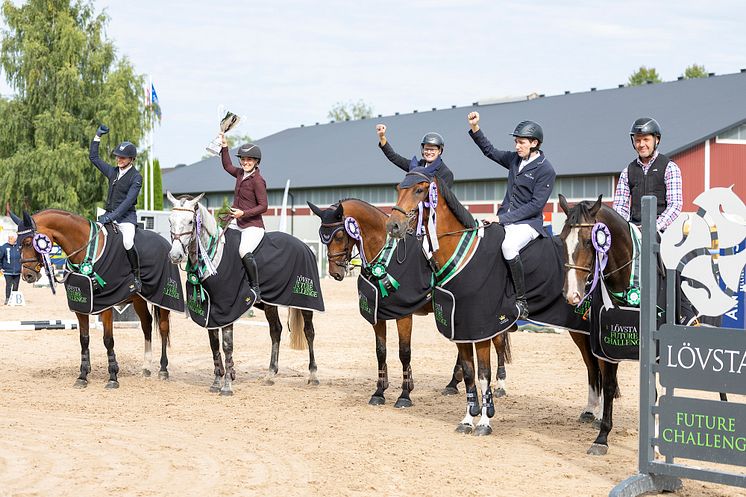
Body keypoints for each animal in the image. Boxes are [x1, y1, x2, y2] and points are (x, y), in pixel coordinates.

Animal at [17, 209, 171, 388]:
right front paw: (82, 376)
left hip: (163, 298)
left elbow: (108, 340)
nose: (27, 276)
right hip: (138, 300)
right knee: (146, 324)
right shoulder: (81, 305)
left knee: (163, 328)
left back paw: (163, 370)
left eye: (29, 242)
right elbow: (84, 340)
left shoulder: (106, 305)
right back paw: (146, 367)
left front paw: (113, 377)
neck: (86, 251)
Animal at [166, 192, 316, 394]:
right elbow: (214, 346)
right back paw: (270, 375)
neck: (213, 256)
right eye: (170, 220)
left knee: (309, 332)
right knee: (275, 331)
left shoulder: (227, 308)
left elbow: (227, 346)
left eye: (190, 221)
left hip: (306, 301)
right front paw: (216, 382)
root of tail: (304, 246)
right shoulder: (210, 310)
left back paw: (313, 376)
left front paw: (227, 386)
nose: (175, 256)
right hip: (270, 304)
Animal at [308, 198, 512, 410]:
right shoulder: (377, 315)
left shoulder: (403, 314)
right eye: (323, 237)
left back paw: (500, 385)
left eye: (340, 235)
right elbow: (380, 352)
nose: (335, 272)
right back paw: (453, 383)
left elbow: (404, 352)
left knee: (498, 340)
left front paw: (405, 394)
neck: (385, 256)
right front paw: (379, 392)